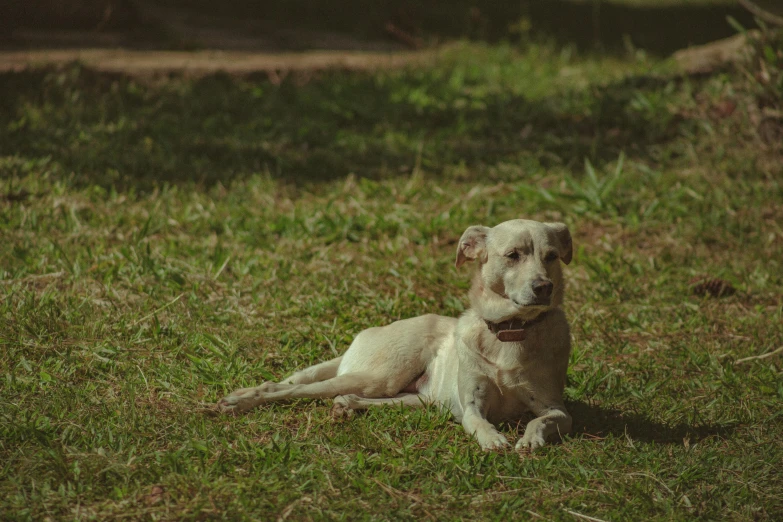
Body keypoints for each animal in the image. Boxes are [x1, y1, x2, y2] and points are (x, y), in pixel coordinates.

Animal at [217, 217, 572, 448]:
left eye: (551, 256)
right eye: (513, 255)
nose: (544, 287)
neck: (511, 331)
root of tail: (365, 335)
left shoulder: (555, 407)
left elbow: (541, 420)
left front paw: (530, 439)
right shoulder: (472, 402)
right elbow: (476, 421)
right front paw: (492, 437)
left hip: (415, 398)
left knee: (351, 396)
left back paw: (346, 405)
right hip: (380, 376)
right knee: (291, 389)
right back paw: (241, 402)